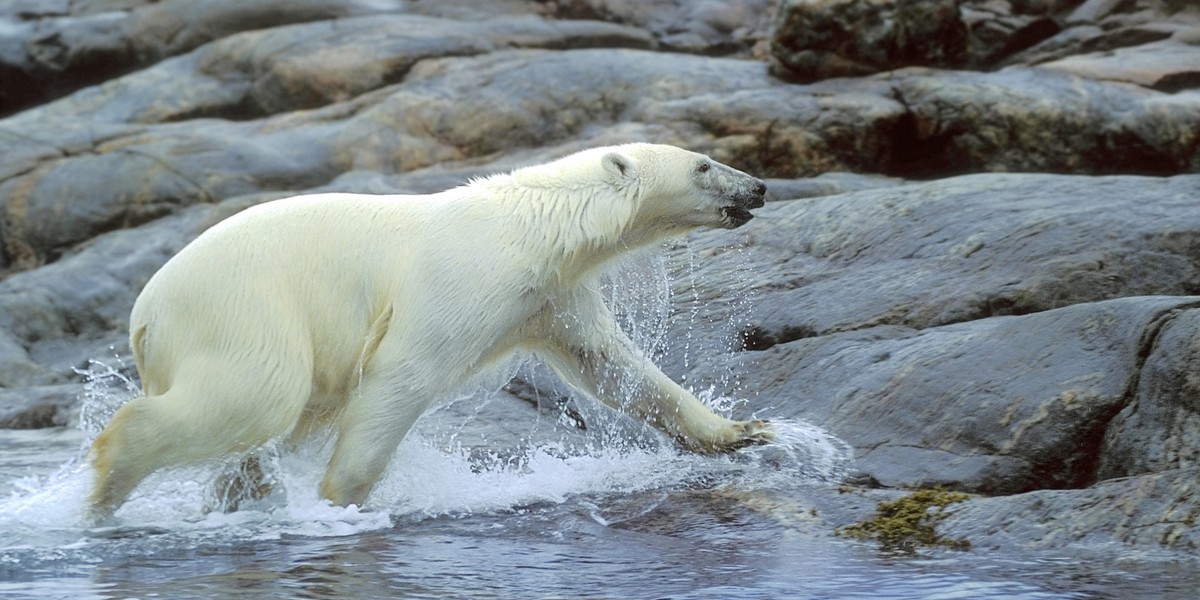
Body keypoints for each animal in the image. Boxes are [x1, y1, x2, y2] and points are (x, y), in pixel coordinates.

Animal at [88, 144, 772, 520]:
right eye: (703, 165)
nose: (759, 186)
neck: (533, 226)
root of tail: (144, 317)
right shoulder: (462, 280)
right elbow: (403, 374)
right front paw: (340, 500)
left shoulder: (549, 295)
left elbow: (609, 362)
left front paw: (742, 430)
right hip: (241, 309)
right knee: (256, 397)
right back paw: (110, 481)